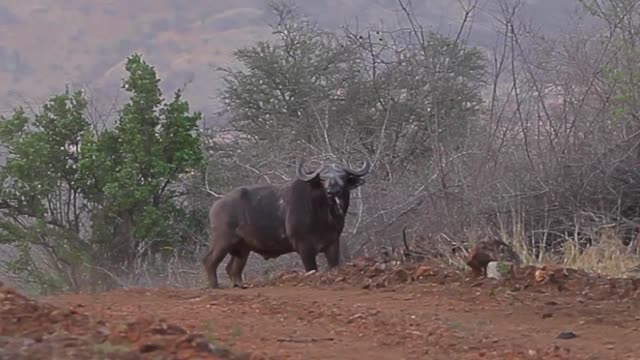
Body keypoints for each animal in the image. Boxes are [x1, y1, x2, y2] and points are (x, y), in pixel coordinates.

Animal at [200, 158, 370, 290]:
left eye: (343, 177)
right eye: (322, 178)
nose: (333, 191)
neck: (325, 214)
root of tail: (216, 206)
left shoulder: (333, 243)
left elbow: (334, 265)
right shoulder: (304, 246)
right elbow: (312, 268)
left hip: (243, 248)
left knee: (232, 268)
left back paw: (240, 285)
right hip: (223, 240)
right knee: (209, 261)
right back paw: (215, 286)